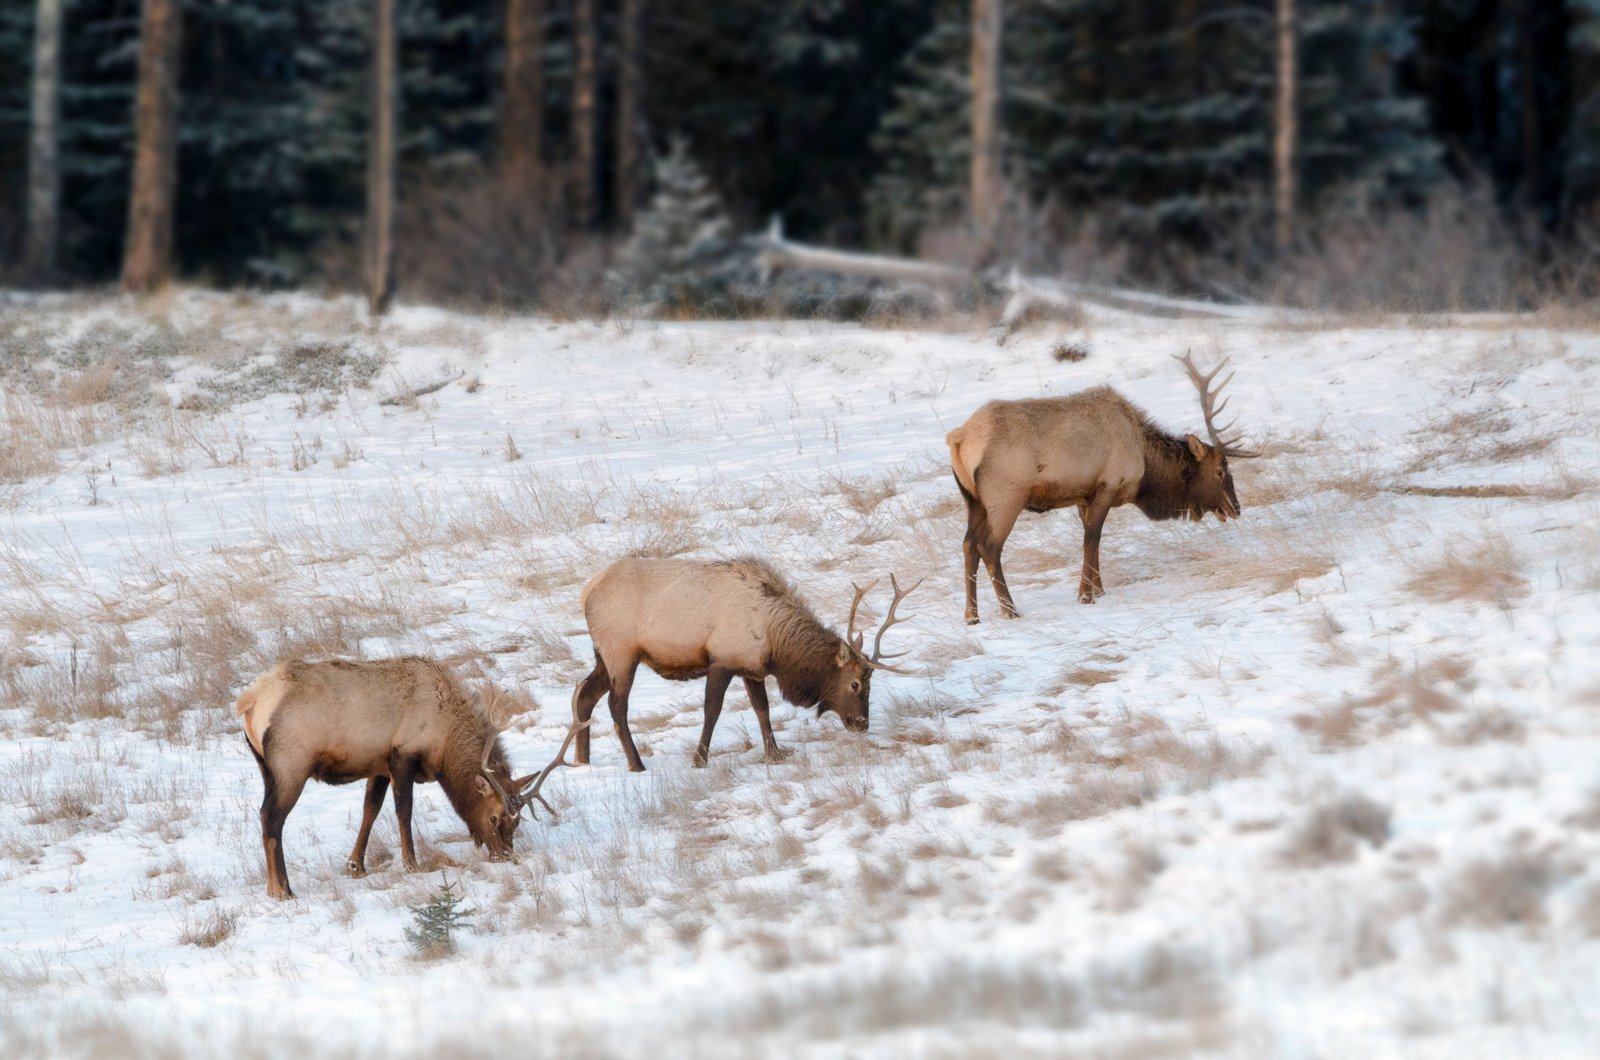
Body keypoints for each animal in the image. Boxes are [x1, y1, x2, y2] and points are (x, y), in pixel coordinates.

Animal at [236, 655, 581, 900]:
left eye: (517, 821)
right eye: (494, 817)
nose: (505, 856)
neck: (445, 742)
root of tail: (248, 702)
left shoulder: (379, 764)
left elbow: (370, 810)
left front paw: (355, 864)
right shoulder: (403, 754)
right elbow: (403, 811)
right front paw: (411, 864)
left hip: (266, 766)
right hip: (290, 764)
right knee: (271, 817)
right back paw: (282, 889)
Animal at [570, 556, 919, 771]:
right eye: (856, 684)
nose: (862, 724)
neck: (775, 640)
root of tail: (586, 592)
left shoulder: (751, 667)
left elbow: (761, 709)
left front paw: (774, 753)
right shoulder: (722, 660)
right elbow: (712, 711)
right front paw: (699, 759)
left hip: (603, 655)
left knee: (583, 694)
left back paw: (582, 761)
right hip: (621, 651)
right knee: (617, 705)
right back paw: (636, 763)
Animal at [948, 352, 1258, 623]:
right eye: (1219, 471)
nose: (1236, 508)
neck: (1145, 463)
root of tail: (958, 438)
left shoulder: (1084, 496)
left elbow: (1091, 542)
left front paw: (1097, 590)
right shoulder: (1107, 485)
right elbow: (1092, 540)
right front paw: (1087, 596)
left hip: (973, 501)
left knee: (968, 545)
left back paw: (971, 616)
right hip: (1006, 497)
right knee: (989, 547)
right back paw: (1010, 610)